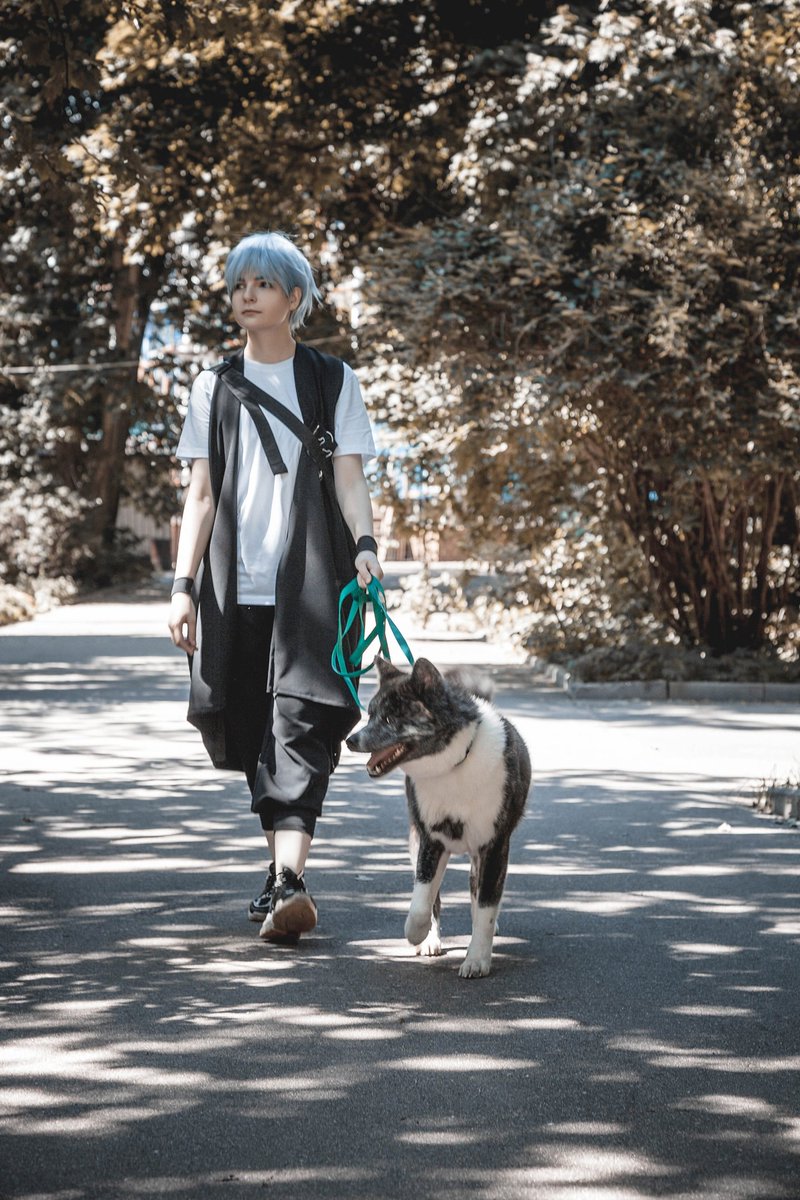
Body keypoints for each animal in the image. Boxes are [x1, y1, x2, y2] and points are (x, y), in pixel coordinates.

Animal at [346, 656, 531, 978]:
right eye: (370, 715)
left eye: (390, 720)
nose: (350, 740)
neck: (453, 765)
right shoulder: (430, 841)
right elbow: (423, 899)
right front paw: (417, 933)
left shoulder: (494, 846)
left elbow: (486, 904)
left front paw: (477, 958)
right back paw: (429, 940)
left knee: (478, 893)